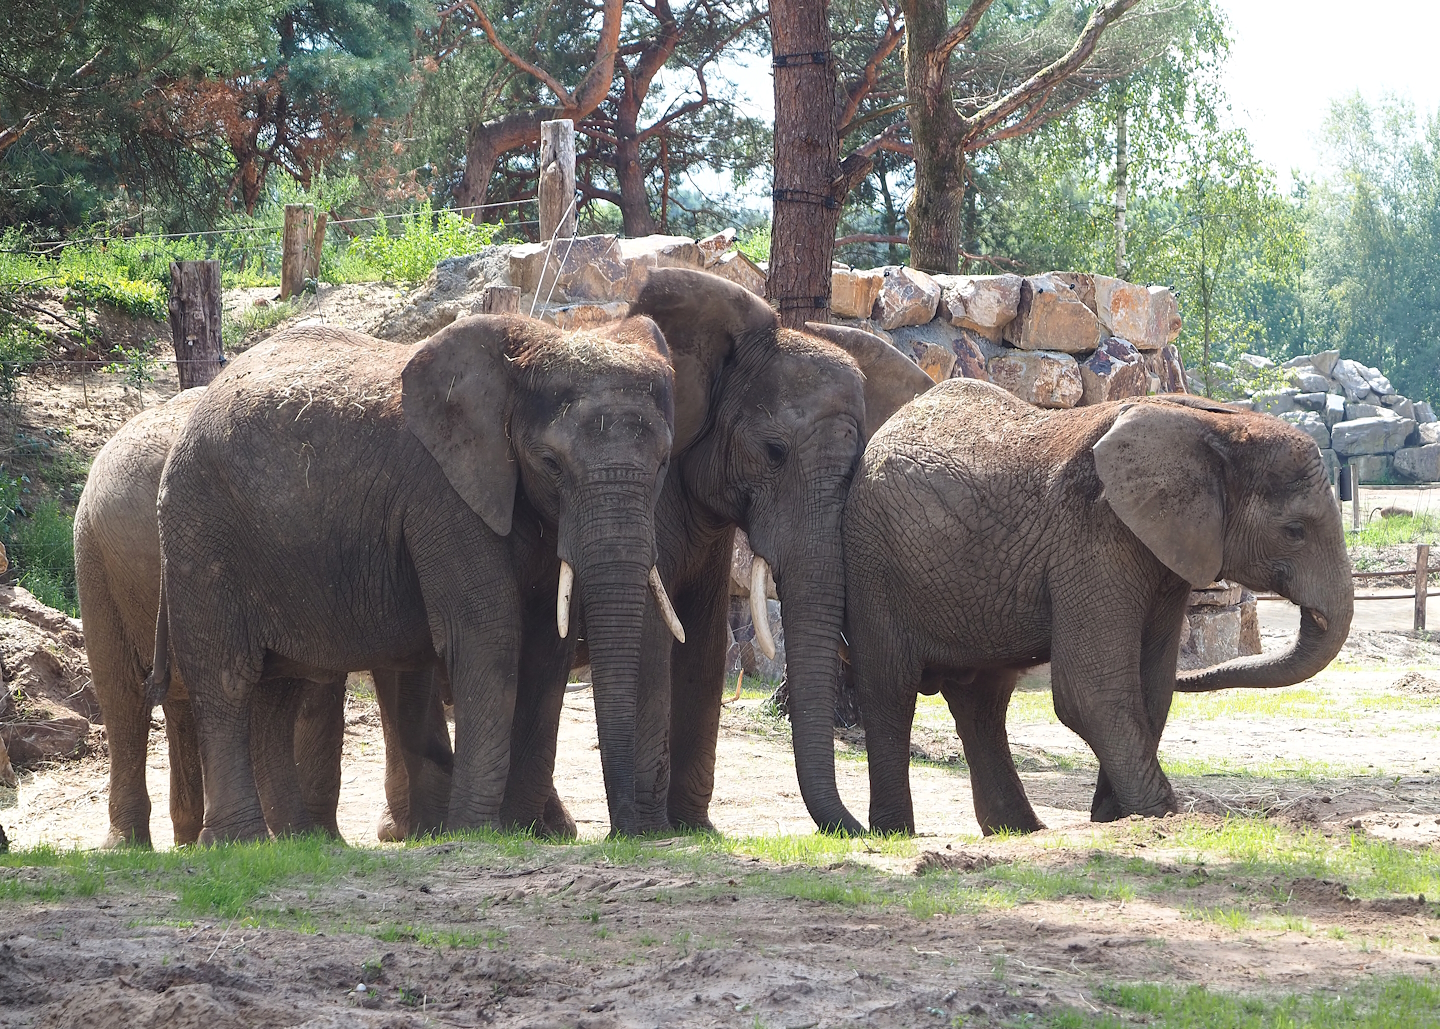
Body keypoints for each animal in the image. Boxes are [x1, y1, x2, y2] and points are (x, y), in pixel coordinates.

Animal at [151, 314, 680, 842]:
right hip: (200, 530)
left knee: (279, 689)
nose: (624, 834)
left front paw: (521, 829)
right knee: (227, 679)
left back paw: (297, 843)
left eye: (664, 464)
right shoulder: (441, 493)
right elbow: (489, 635)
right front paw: (475, 832)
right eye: (551, 464)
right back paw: (238, 841)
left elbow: (546, 646)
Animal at [489, 269, 935, 837]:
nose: (861, 829)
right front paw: (653, 830)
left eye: (856, 466)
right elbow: (654, 634)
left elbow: (703, 639)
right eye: (773, 452)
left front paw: (693, 828)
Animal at [842, 381, 1354, 835]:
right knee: (890, 690)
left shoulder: (1161, 550)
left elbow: (1151, 690)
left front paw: (1114, 816)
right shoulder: (1092, 533)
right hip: (874, 563)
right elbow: (1091, 693)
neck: (1212, 425)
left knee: (981, 701)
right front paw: (1161, 815)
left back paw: (1019, 831)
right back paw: (896, 833)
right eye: (1294, 531)